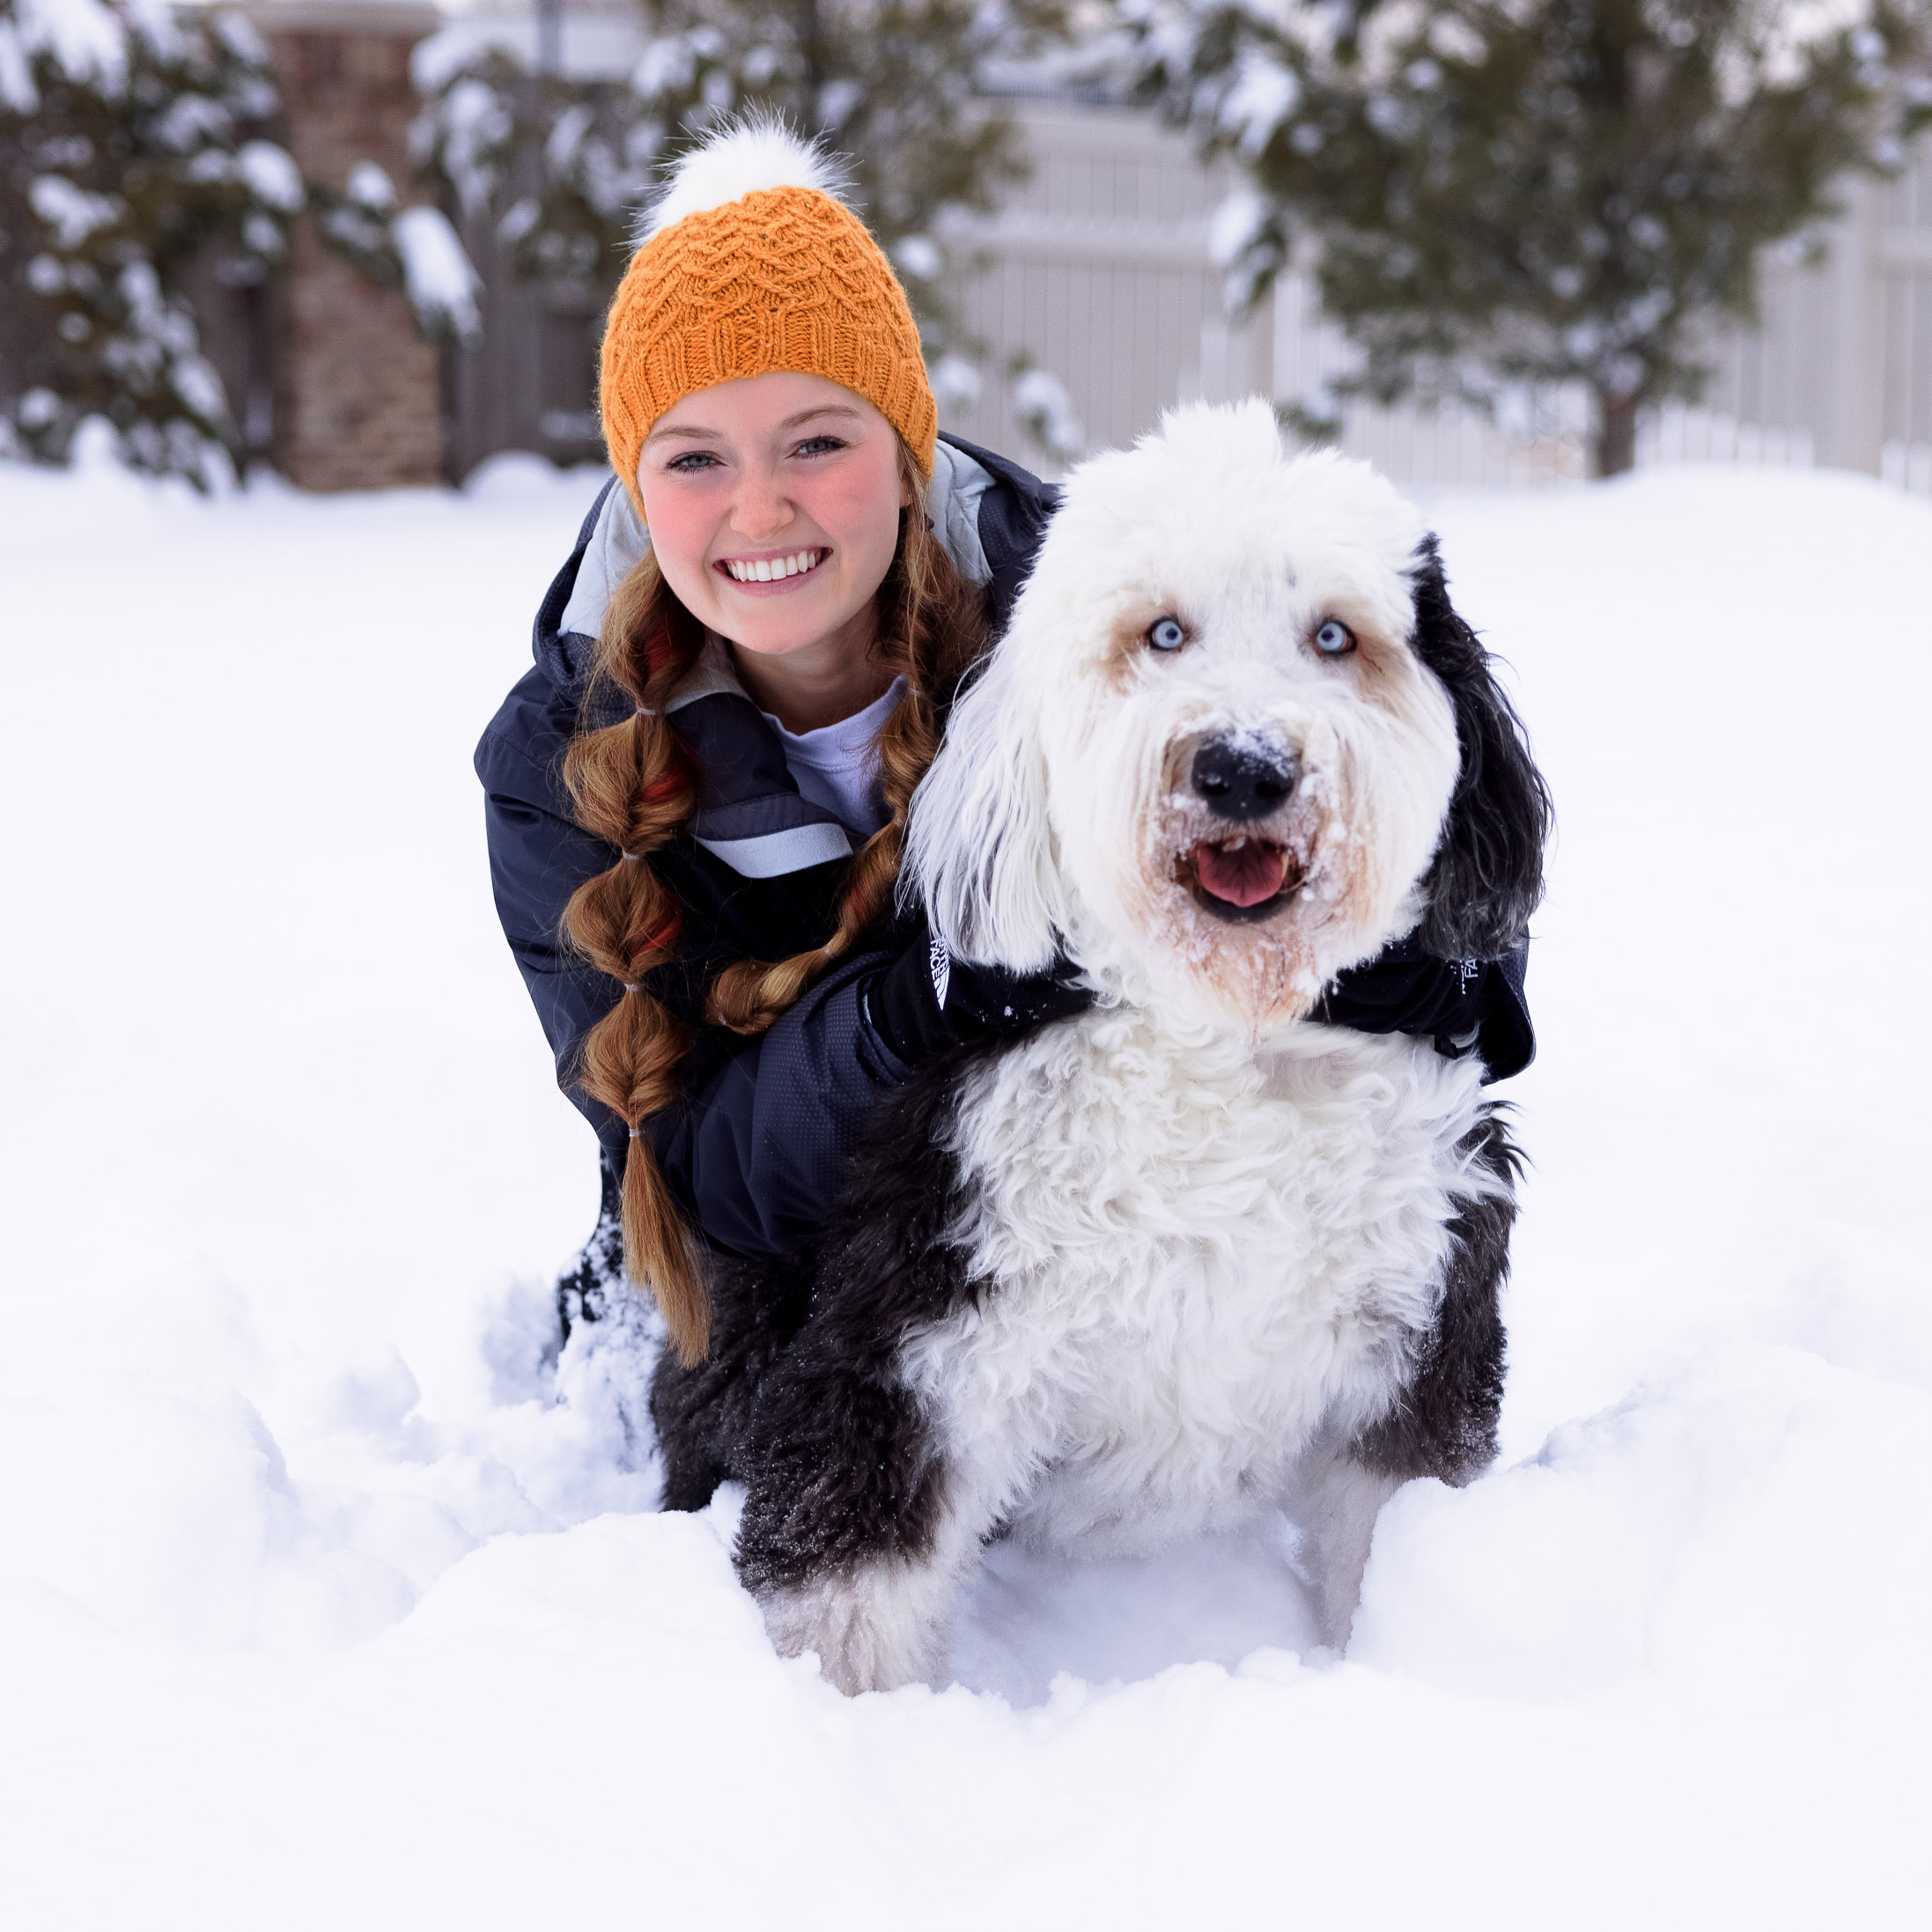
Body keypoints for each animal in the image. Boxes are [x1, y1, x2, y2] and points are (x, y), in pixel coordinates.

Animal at [656, 395, 1545, 1692]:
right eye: (1162, 632)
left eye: (1333, 636)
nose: (1241, 769)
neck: (1223, 1034)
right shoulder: (921, 1330)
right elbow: (846, 1586)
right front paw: (841, 1723)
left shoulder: (1423, 1312)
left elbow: (1389, 1528)